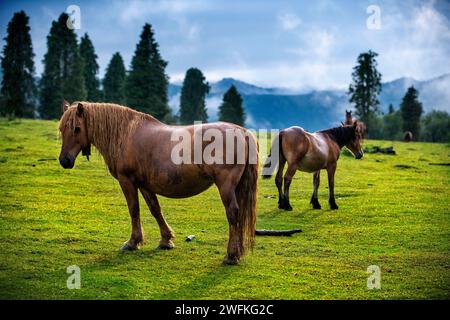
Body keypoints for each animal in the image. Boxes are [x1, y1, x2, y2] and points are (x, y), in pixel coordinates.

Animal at [58, 100, 258, 264]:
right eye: (61, 129)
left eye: (76, 128)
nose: (64, 161)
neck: (125, 134)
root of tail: (243, 132)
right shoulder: (144, 185)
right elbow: (155, 209)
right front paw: (166, 240)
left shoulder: (127, 181)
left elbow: (134, 210)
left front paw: (133, 242)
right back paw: (238, 252)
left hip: (226, 186)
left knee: (233, 213)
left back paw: (231, 255)